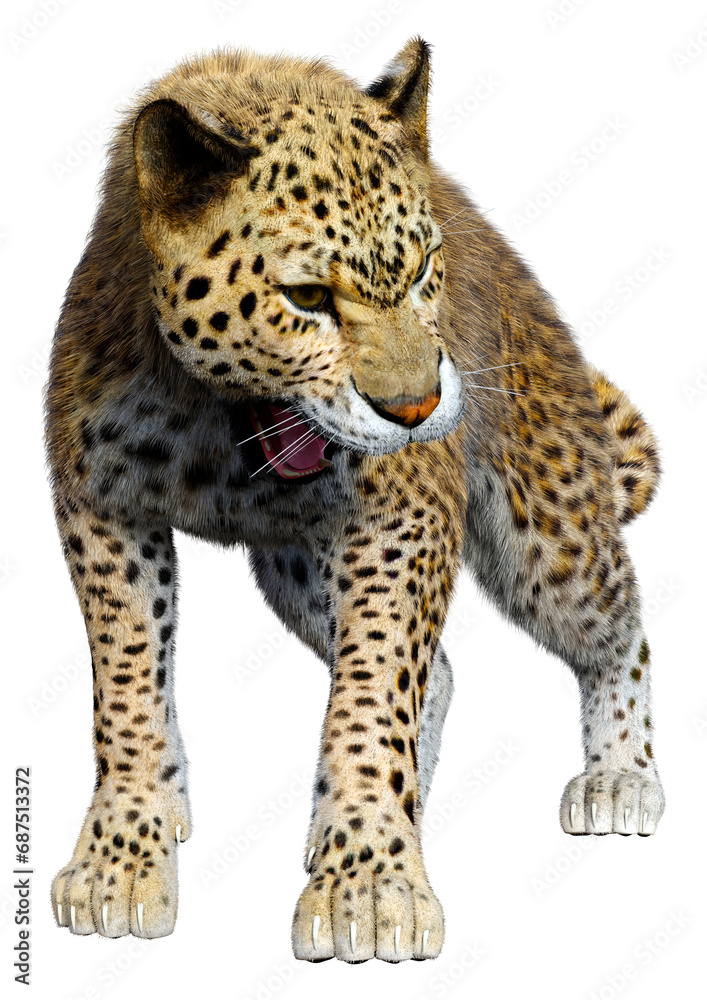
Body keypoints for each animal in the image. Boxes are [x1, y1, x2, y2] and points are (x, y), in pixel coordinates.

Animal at [45, 38, 664, 963]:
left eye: (421, 271)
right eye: (306, 298)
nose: (414, 408)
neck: (230, 419)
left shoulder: (406, 518)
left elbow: (373, 696)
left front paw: (368, 884)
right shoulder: (100, 504)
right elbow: (127, 683)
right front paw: (123, 854)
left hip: (545, 532)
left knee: (617, 627)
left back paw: (619, 777)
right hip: (297, 572)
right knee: (436, 674)